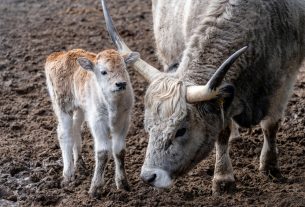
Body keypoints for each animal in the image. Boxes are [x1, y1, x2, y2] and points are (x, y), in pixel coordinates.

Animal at [44, 47, 138, 196]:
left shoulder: (123, 121)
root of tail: (59, 55)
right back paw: (68, 175)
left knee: (76, 128)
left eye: (124, 68)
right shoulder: (98, 122)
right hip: (62, 106)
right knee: (65, 134)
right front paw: (95, 188)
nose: (121, 84)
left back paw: (80, 163)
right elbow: (103, 152)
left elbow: (119, 150)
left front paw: (123, 184)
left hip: (81, 109)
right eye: (103, 71)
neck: (113, 104)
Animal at [100, 0, 304, 194]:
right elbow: (222, 133)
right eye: (147, 128)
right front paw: (223, 179)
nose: (149, 177)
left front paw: (270, 167)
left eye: (181, 131)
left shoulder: (284, 80)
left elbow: (270, 125)